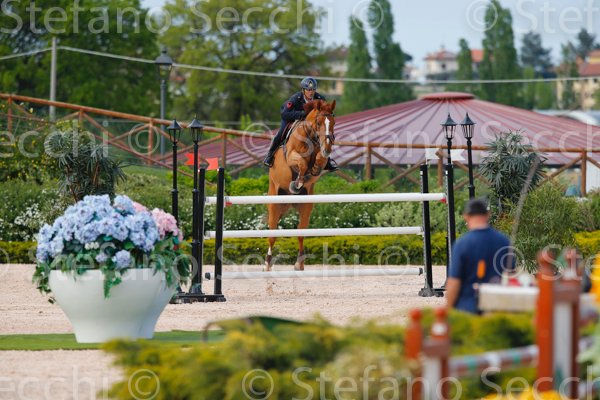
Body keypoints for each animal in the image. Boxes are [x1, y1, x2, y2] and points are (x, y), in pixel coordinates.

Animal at [265, 99, 336, 271]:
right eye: (318, 122)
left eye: (333, 122)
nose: (328, 148)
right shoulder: (291, 156)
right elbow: (302, 164)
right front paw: (297, 182)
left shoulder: (321, 157)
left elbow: (319, 161)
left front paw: (312, 170)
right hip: (274, 202)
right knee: (272, 234)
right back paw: (267, 264)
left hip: (306, 206)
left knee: (300, 232)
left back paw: (300, 263)